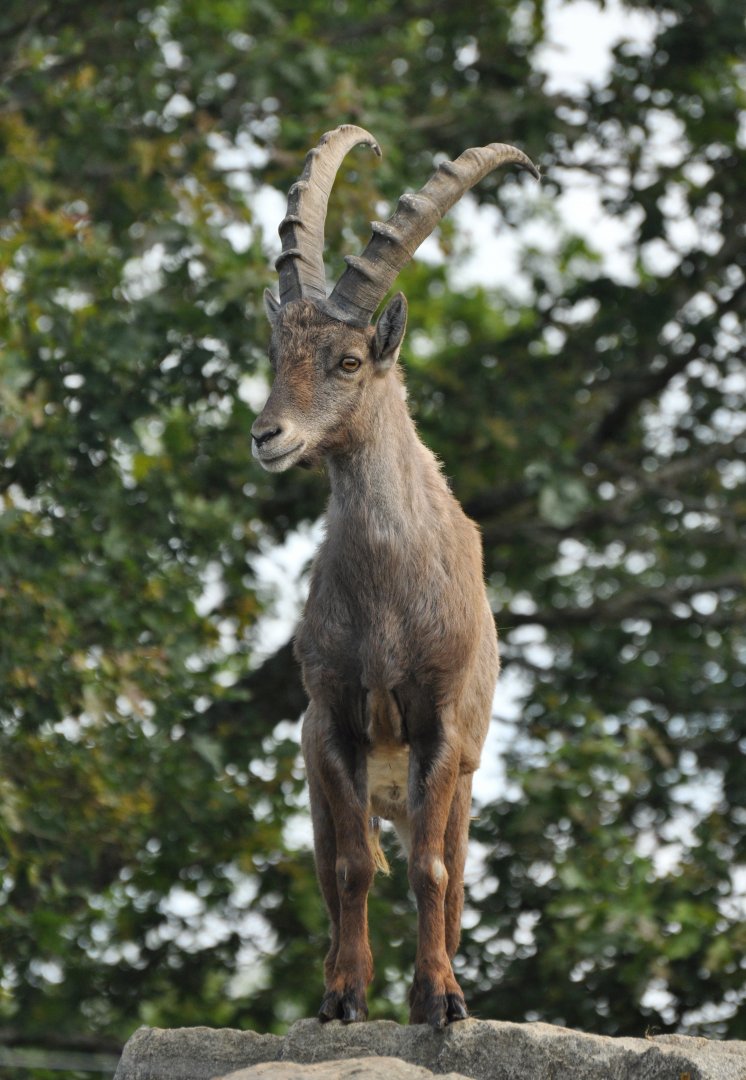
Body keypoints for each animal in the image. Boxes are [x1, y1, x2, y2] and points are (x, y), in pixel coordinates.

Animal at [251, 125, 538, 1029]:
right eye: (277, 352)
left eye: (348, 360)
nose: (268, 436)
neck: (385, 597)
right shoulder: (333, 720)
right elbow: (351, 869)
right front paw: (344, 997)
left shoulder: (441, 727)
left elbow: (430, 873)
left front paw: (441, 999)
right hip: (320, 776)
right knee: (342, 866)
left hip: (458, 785)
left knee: (446, 874)